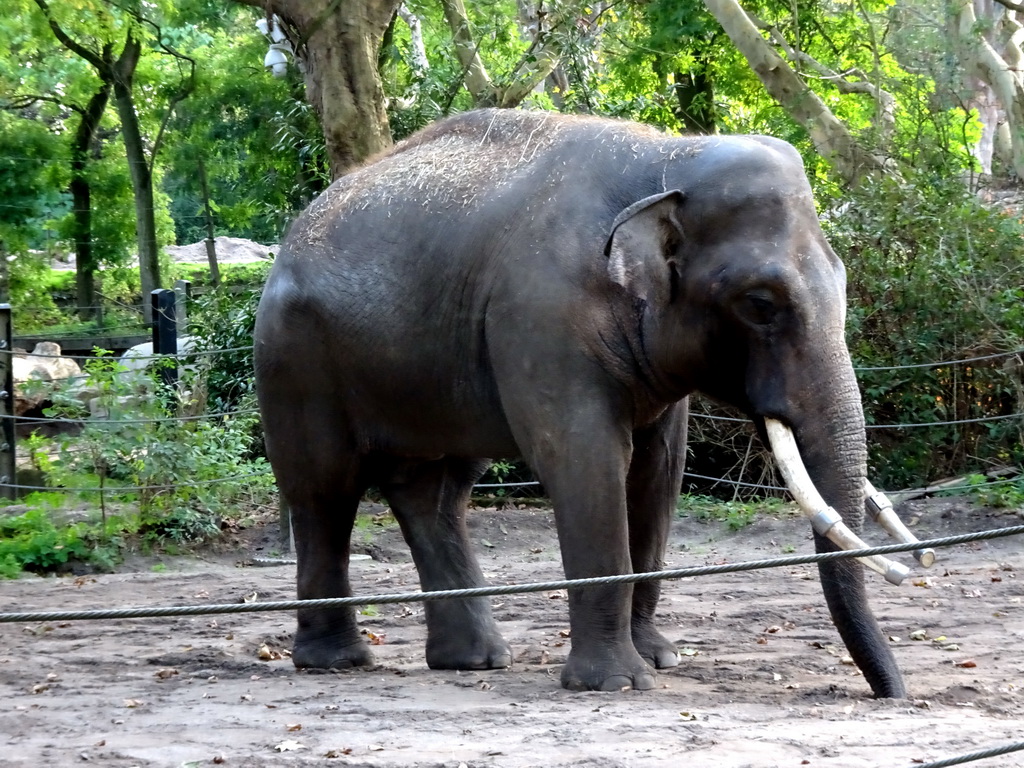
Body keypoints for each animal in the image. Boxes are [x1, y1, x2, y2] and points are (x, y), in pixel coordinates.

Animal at [256, 108, 913, 696]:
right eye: (760, 303)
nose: (889, 694)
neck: (667, 156)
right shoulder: (541, 315)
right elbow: (586, 460)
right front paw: (618, 682)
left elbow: (658, 471)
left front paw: (660, 658)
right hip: (295, 358)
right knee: (324, 489)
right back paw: (337, 662)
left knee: (435, 491)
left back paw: (475, 661)